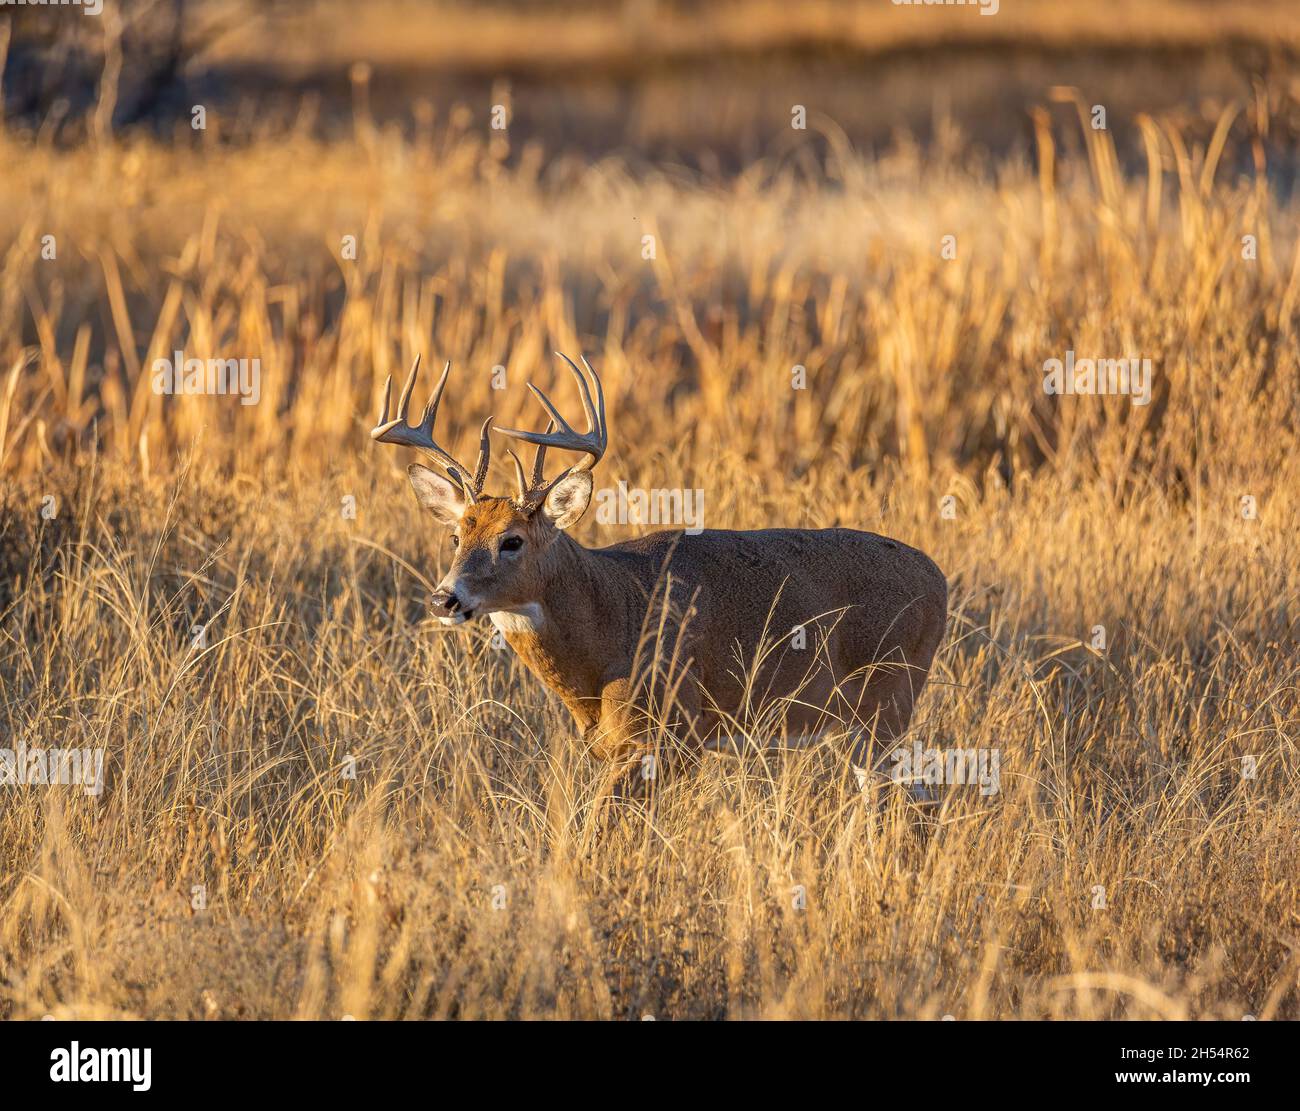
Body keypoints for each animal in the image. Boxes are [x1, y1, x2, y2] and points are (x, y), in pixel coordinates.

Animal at [371, 353, 948, 789]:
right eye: (456, 536)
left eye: (511, 540)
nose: (444, 598)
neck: (609, 625)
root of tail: (937, 576)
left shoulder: (675, 730)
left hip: (889, 699)